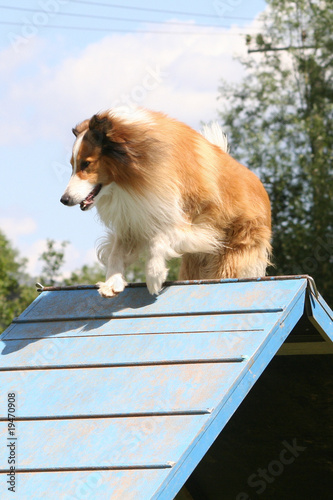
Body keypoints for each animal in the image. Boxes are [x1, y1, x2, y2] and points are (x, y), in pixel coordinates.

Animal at [60, 108, 270, 296]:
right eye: (72, 165)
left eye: (86, 164)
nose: (63, 200)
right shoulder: (133, 220)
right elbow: (116, 252)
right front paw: (112, 282)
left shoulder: (193, 224)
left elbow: (158, 240)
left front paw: (154, 276)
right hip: (194, 264)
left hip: (230, 255)